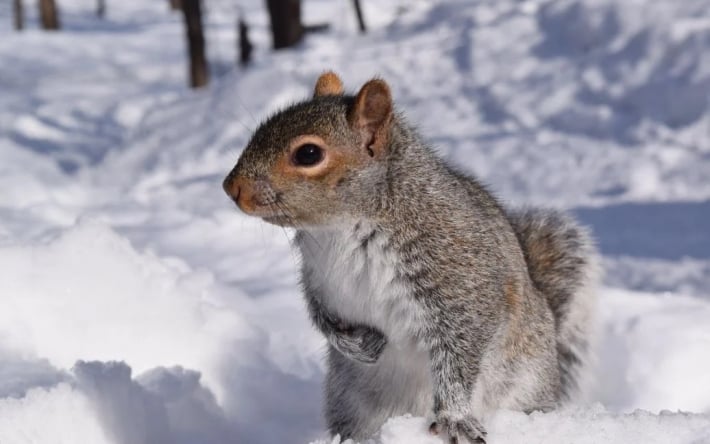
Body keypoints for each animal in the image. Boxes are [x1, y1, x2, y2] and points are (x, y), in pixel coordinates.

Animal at [224, 73, 600, 444]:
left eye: (309, 153)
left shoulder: (462, 278)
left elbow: (459, 352)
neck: (341, 229)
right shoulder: (319, 280)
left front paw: (454, 418)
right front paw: (358, 344)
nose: (231, 187)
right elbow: (322, 317)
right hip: (350, 405)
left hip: (525, 384)